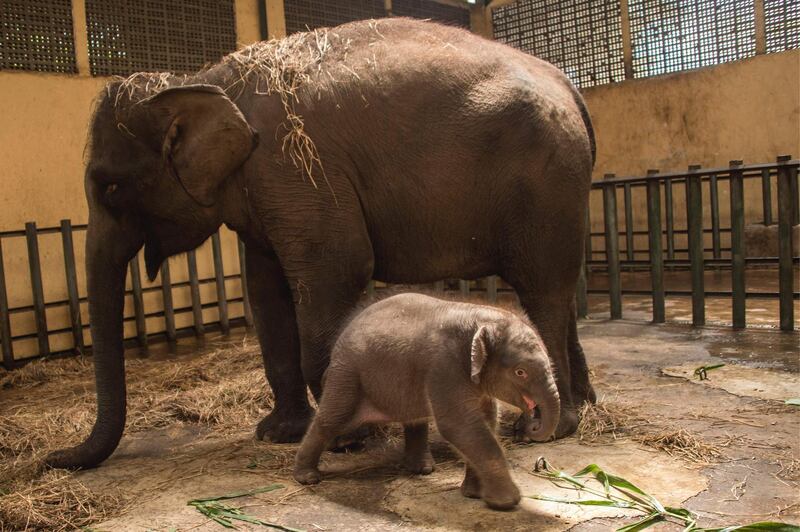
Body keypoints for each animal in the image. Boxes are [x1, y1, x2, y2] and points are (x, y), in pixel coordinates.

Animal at [43, 17, 592, 470]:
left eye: (110, 188)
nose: (49, 458)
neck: (200, 79)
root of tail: (569, 84)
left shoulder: (293, 169)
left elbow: (335, 271)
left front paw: (347, 439)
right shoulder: (265, 192)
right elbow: (265, 293)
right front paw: (277, 434)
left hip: (547, 183)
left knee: (542, 290)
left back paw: (542, 429)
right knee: (561, 293)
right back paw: (583, 404)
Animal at [290, 294, 560, 510]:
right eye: (520, 372)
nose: (532, 427)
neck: (481, 317)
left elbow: (485, 422)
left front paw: (474, 495)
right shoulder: (445, 366)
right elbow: (459, 426)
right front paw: (507, 502)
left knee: (414, 418)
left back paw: (422, 470)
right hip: (348, 374)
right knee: (331, 419)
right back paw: (307, 478)